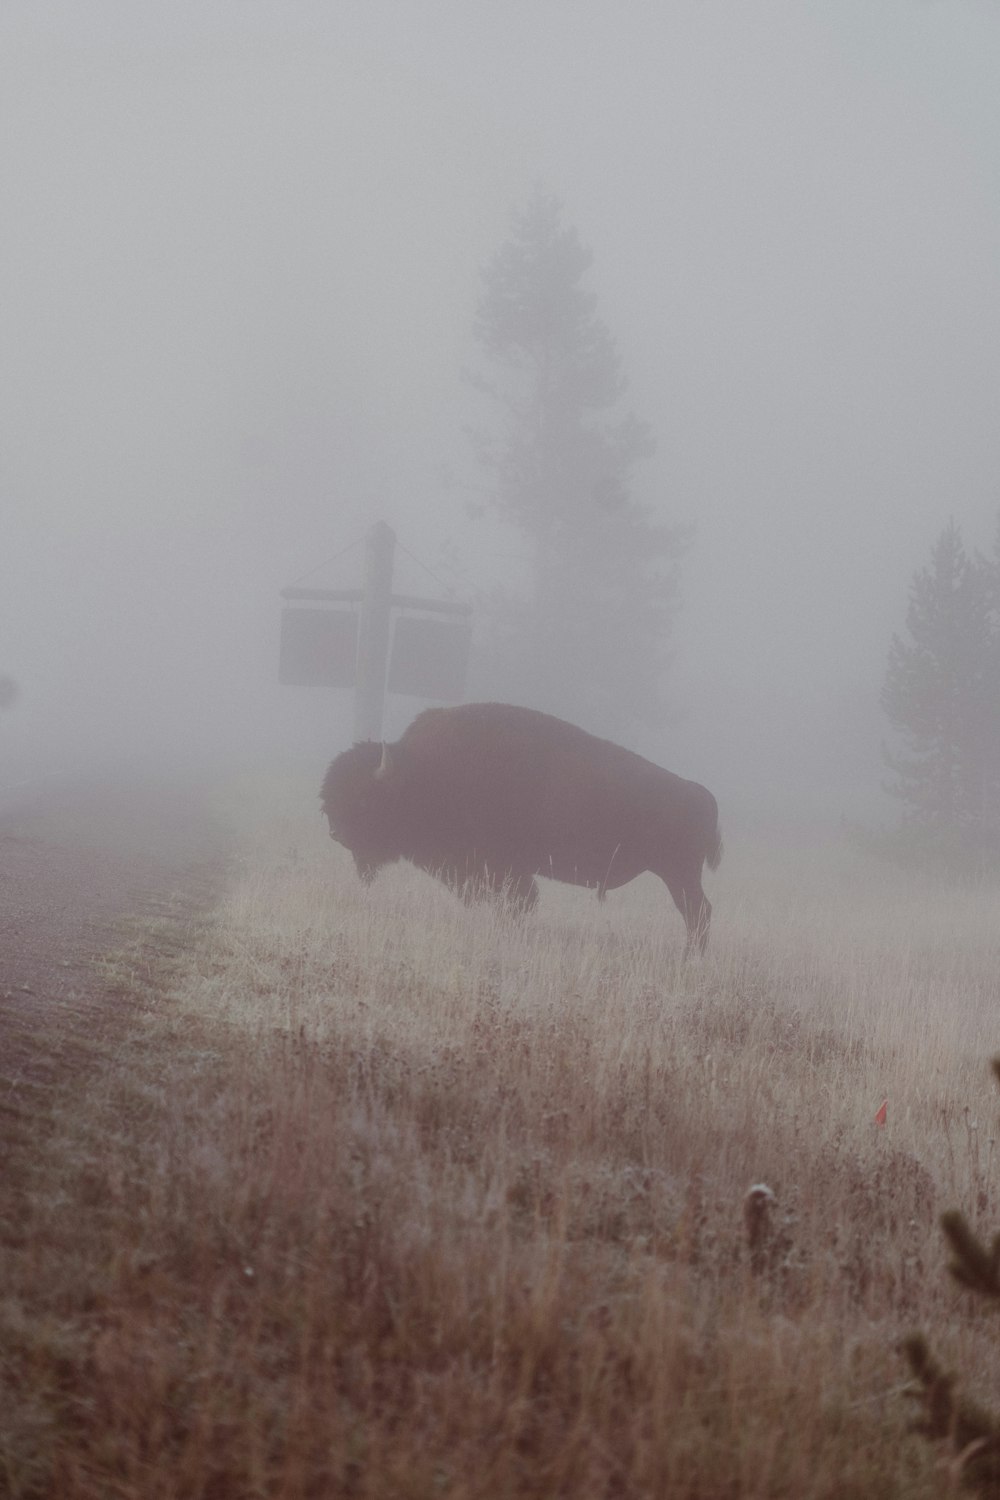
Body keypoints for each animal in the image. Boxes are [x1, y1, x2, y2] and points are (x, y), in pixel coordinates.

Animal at [325, 699, 722, 948]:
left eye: (365, 799)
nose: (337, 833)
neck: (423, 772)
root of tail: (700, 792)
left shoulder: (504, 870)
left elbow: (519, 903)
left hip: (679, 875)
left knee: (698, 913)